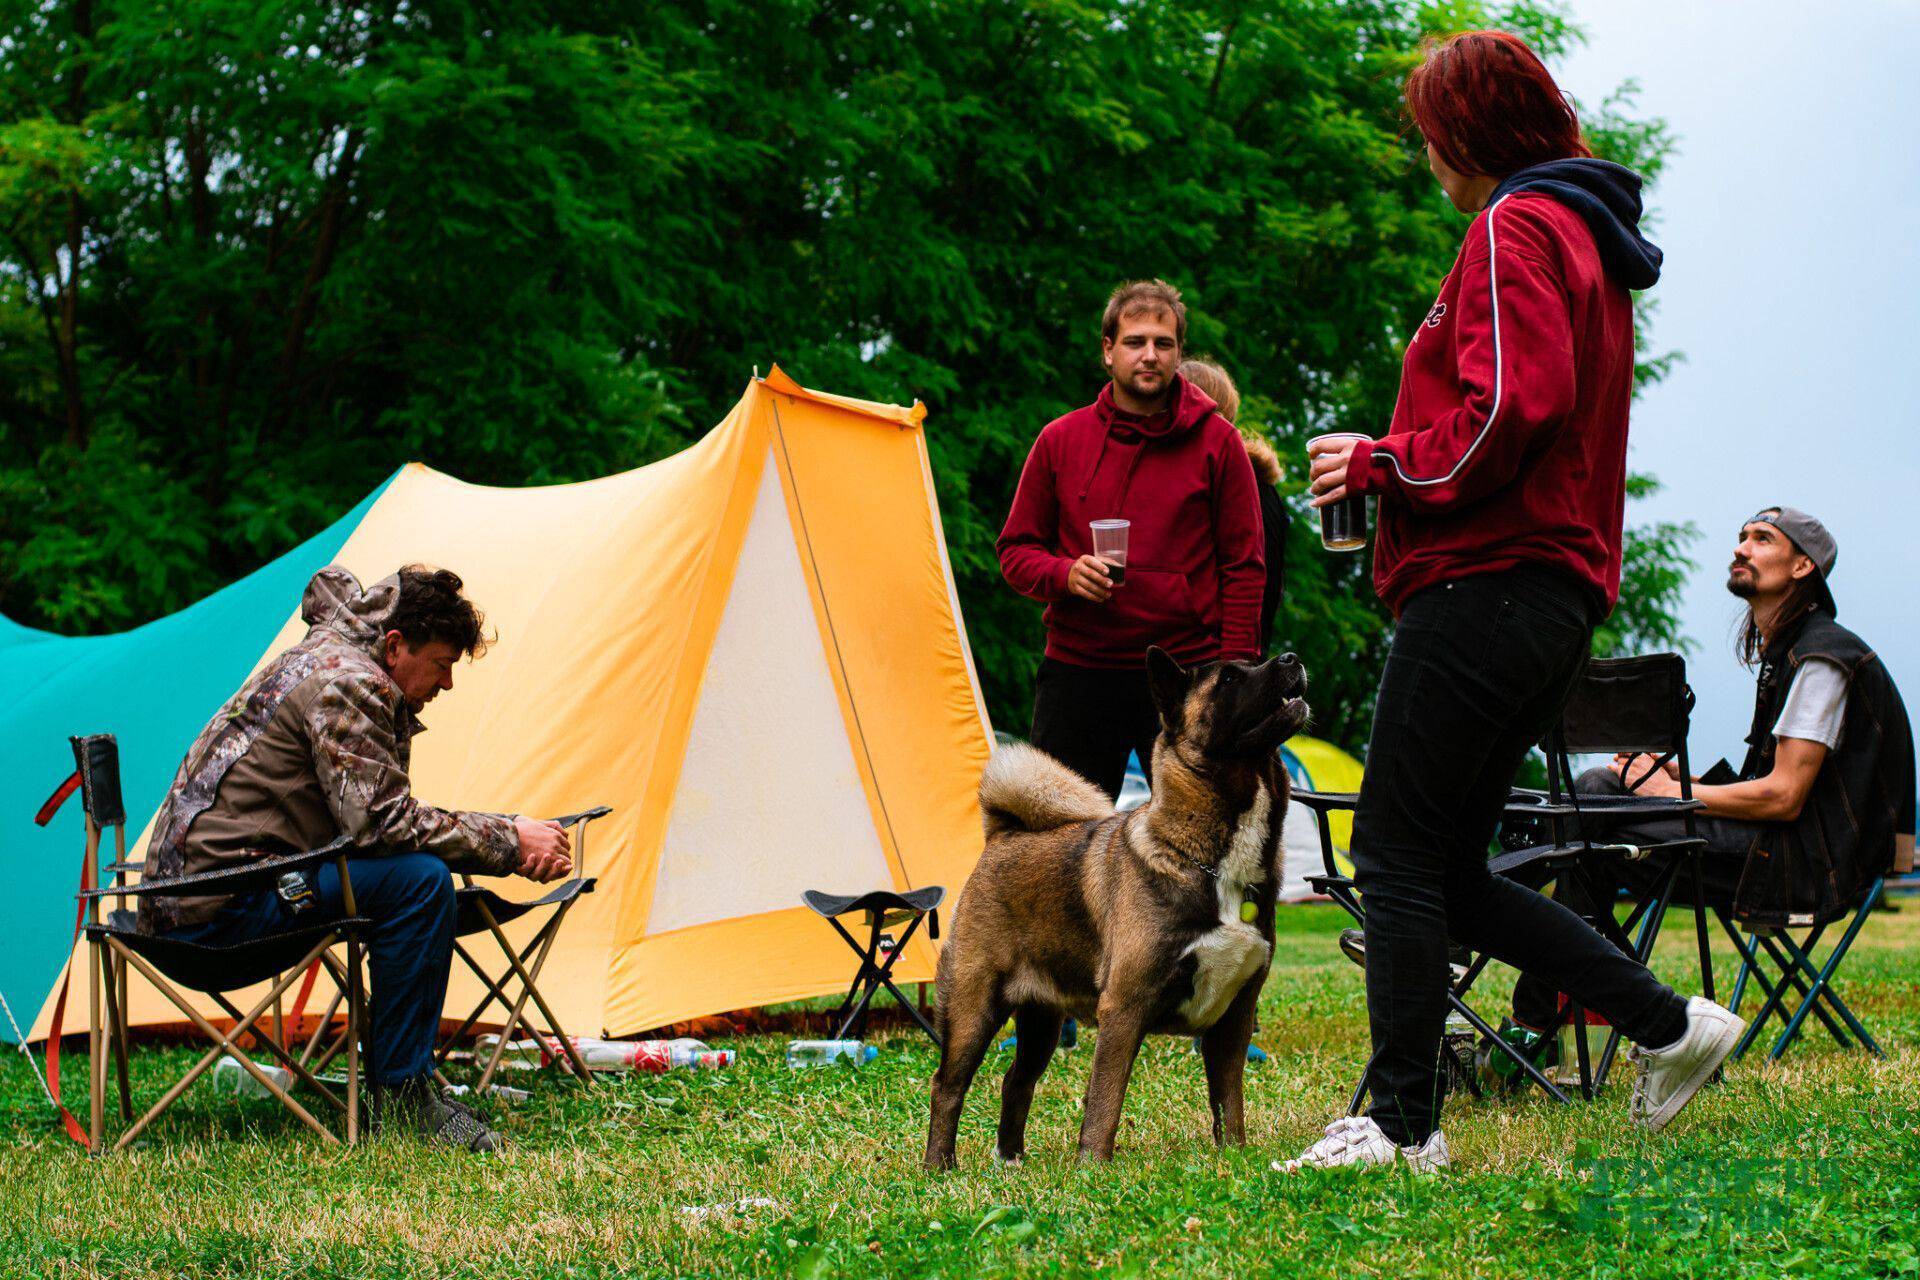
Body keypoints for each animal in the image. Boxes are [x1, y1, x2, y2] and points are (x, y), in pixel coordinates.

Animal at [925, 652, 1313, 1174]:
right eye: (1229, 677)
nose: (1291, 658)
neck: (1209, 862)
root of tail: (1004, 836)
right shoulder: (1125, 1008)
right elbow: (1105, 1102)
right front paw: (1093, 1169)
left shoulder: (1234, 1018)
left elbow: (1229, 1102)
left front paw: (1233, 1157)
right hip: (973, 1008)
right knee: (948, 1086)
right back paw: (938, 1167)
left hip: (1041, 1021)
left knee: (1016, 1081)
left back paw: (1010, 1158)